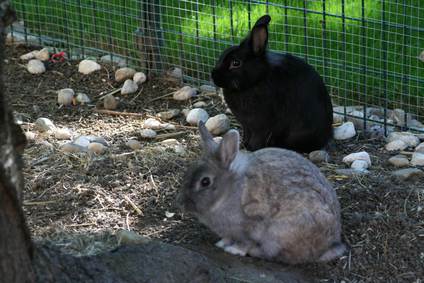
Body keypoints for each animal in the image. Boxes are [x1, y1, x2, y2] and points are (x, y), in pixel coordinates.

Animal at [179, 122, 344, 266]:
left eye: (205, 182)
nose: (182, 203)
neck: (230, 190)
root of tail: (329, 245)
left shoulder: (251, 226)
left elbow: (245, 242)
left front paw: (234, 250)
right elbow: (227, 238)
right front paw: (221, 244)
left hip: (279, 234)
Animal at [210, 14, 332, 154]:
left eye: (236, 63)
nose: (213, 76)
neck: (257, 80)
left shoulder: (261, 125)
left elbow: (258, 137)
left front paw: (252, 149)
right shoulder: (247, 126)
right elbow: (246, 134)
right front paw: (243, 145)